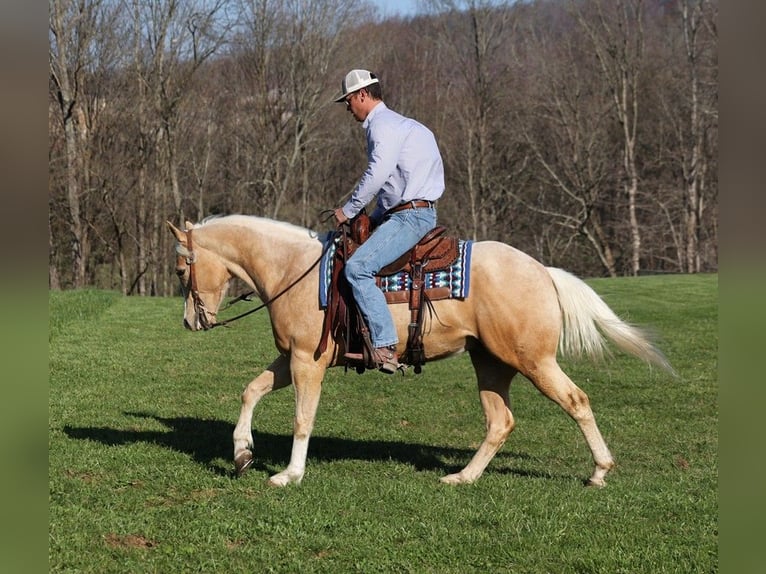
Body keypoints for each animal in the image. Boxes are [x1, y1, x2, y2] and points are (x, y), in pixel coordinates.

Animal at [168, 217, 672, 490]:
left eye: (179, 270)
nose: (192, 322)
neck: (295, 270)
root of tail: (543, 270)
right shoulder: (293, 358)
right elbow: (250, 391)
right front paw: (242, 453)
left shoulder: (307, 362)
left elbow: (301, 419)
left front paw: (288, 475)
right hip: (490, 364)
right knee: (500, 422)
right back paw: (463, 478)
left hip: (533, 361)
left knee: (576, 401)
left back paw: (600, 472)